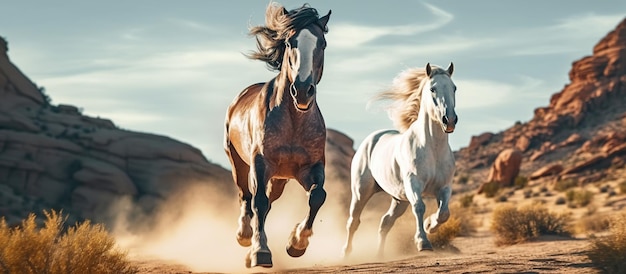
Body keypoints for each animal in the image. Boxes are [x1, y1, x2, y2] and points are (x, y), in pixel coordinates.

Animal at [224, 2, 332, 268]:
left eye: (322, 44)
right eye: (290, 42)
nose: (302, 91)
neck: (293, 122)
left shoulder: (311, 166)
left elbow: (317, 195)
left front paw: (297, 243)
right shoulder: (261, 163)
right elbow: (258, 201)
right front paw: (260, 251)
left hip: (280, 179)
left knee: (267, 202)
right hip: (239, 162)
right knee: (247, 196)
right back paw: (244, 236)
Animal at [344, 63, 456, 258]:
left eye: (454, 88)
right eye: (432, 89)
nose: (449, 120)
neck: (432, 149)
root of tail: (371, 139)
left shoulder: (444, 187)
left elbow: (444, 213)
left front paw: (430, 225)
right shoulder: (413, 183)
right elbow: (419, 207)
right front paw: (423, 242)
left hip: (399, 199)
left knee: (385, 222)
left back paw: (379, 255)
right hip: (361, 192)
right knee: (354, 221)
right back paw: (345, 253)